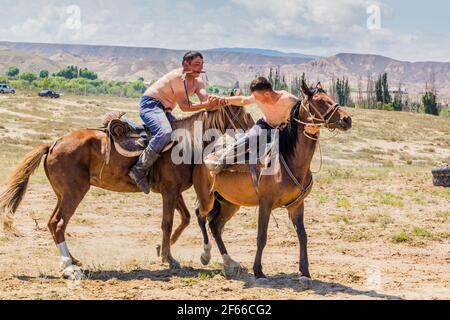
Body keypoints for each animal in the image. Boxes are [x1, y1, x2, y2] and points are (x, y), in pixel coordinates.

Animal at [0, 104, 253, 278]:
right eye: (242, 112)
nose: (253, 128)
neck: (186, 141)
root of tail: (53, 144)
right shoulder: (170, 191)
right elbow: (168, 222)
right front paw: (169, 258)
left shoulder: (173, 191)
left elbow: (185, 218)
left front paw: (162, 249)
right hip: (74, 193)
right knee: (58, 223)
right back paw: (68, 266)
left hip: (62, 195)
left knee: (52, 222)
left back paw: (72, 260)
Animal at [192, 81, 352, 284]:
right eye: (320, 101)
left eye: (330, 98)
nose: (347, 119)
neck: (288, 160)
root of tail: (204, 156)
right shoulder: (265, 203)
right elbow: (262, 236)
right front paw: (258, 271)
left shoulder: (297, 205)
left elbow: (302, 236)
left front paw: (305, 272)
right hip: (207, 198)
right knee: (200, 215)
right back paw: (206, 255)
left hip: (229, 203)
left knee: (215, 226)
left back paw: (230, 263)